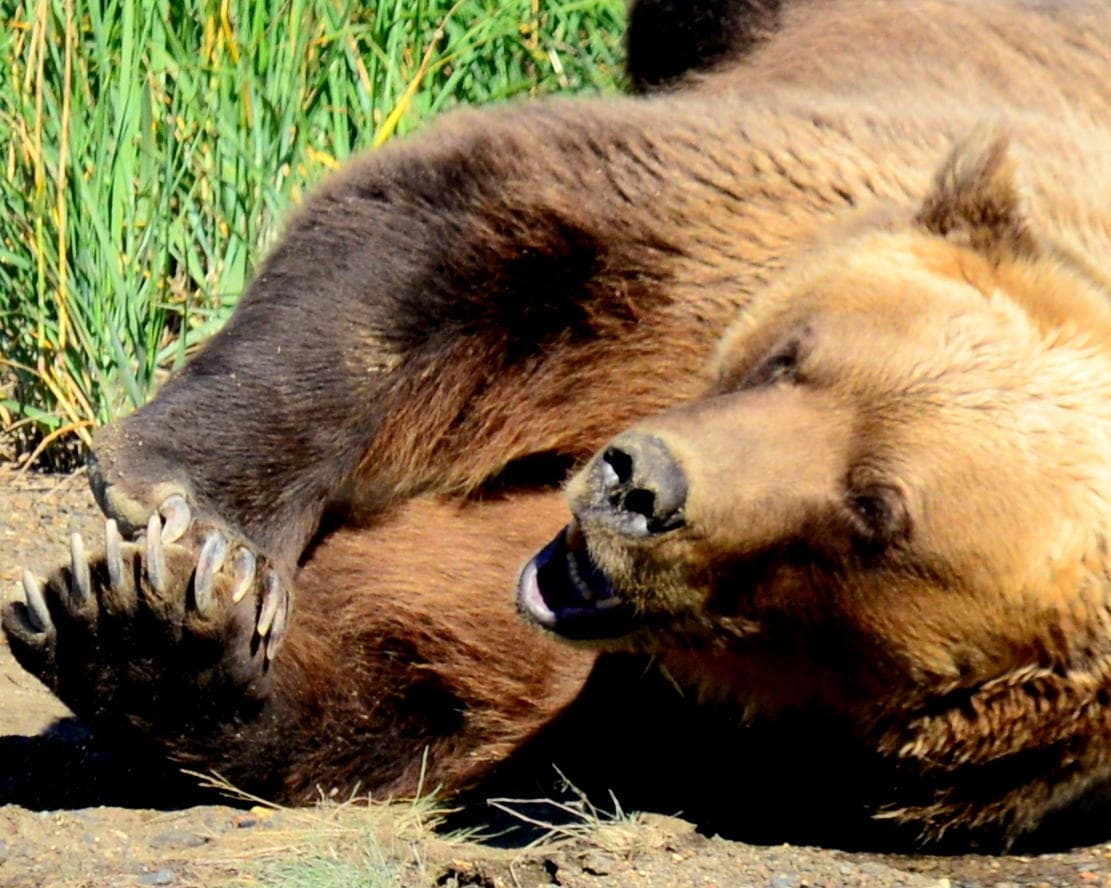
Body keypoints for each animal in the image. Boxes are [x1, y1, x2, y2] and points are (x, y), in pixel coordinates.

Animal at [4, 0, 1111, 851]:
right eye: (795, 355)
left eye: (873, 512)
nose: (640, 481)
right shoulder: (732, 230)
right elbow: (482, 226)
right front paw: (178, 550)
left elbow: (437, 674)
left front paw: (156, 628)